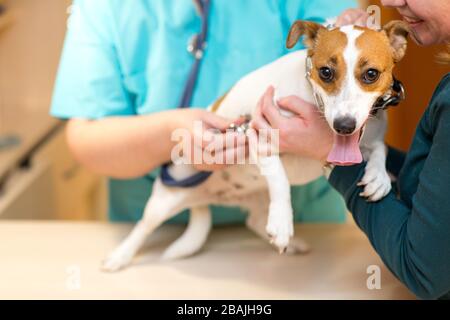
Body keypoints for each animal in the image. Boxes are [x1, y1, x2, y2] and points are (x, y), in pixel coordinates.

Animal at [101, 20, 408, 272]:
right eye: (325, 72)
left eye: (371, 74)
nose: (344, 125)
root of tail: (208, 199)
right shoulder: (260, 137)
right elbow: (280, 179)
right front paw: (283, 222)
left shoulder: (371, 136)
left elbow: (380, 150)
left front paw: (378, 177)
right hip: (164, 200)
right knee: (143, 227)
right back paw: (119, 257)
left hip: (257, 197)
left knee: (255, 221)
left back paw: (289, 242)